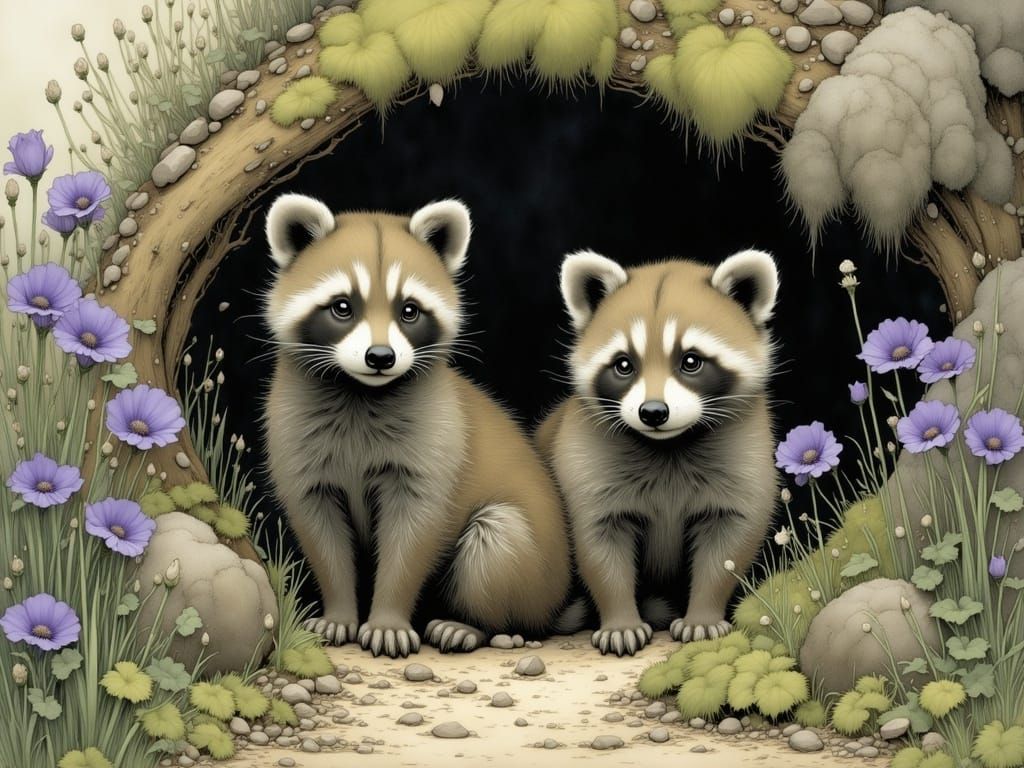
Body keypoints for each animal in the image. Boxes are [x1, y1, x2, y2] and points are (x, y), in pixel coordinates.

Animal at [262, 194, 572, 658]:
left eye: (409, 311)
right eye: (342, 306)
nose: (380, 357)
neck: (361, 392)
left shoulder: (436, 441)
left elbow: (413, 535)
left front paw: (388, 619)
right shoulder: (296, 442)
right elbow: (321, 534)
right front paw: (339, 613)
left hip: (530, 564)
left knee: (496, 543)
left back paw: (474, 625)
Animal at [536, 249, 779, 656]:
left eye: (691, 361)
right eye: (623, 364)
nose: (652, 412)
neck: (668, 445)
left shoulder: (746, 455)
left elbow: (729, 542)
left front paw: (703, 615)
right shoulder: (585, 461)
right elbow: (599, 545)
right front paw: (620, 620)